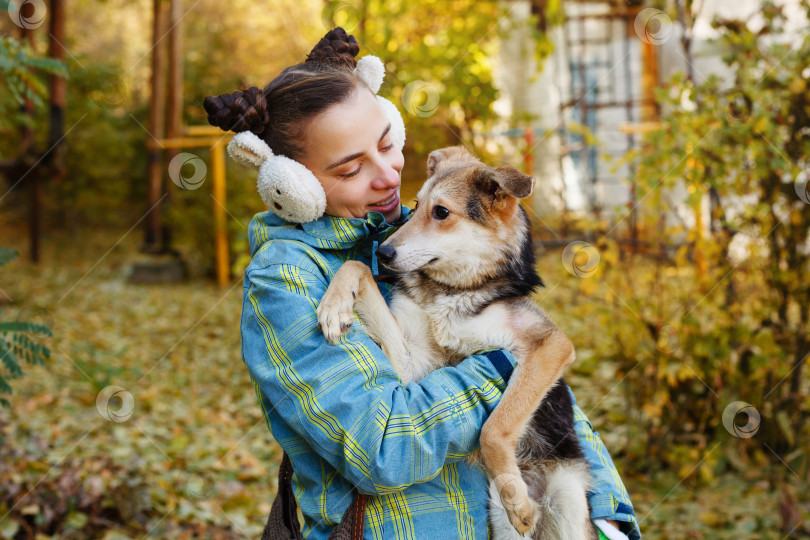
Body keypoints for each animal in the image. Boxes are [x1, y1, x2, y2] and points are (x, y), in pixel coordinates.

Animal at [318, 146, 596, 536]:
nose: (383, 253)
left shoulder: (549, 345)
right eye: (415, 204)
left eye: (441, 212)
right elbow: (354, 268)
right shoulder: (411, 363)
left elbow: (495, 427)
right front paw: (334, 305)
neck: (451, 291)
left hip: (569, 500)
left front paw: (518, 502)